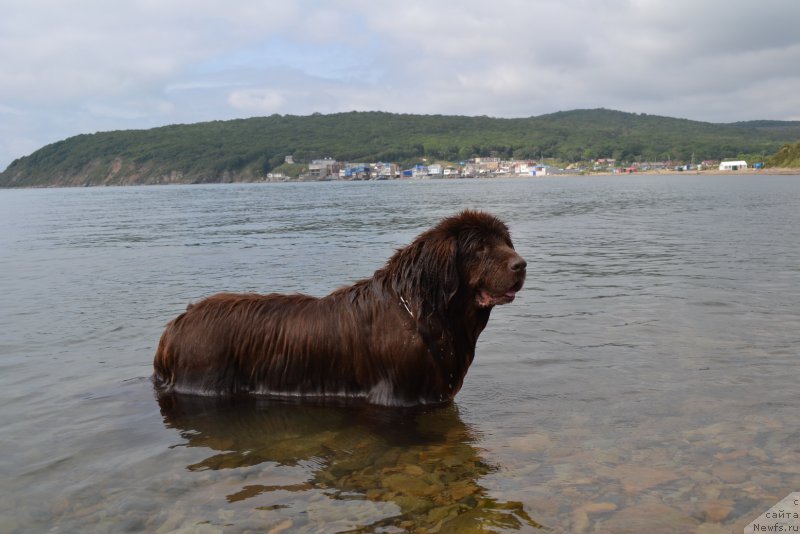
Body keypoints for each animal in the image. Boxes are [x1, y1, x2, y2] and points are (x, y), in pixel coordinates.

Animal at [153, 210, 524, 406]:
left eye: (505, 242)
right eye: (480, 248)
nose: (521, 265)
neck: (423, 314)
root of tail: (175, 326)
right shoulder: (397, 396)